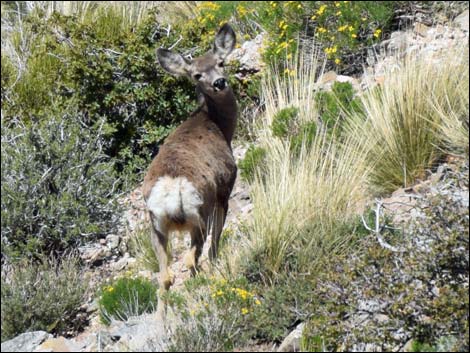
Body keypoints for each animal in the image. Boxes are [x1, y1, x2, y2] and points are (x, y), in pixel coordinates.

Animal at [142, 24, 239, 316]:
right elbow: (216, 244)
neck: (216, 125)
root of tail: (171, 188)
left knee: (165, 276)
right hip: (199, 214)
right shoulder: (224, 190)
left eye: (220, 63)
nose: (219, 82)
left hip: (156, 227)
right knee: (190, 260)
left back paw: (163, 321)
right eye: (197, 74)